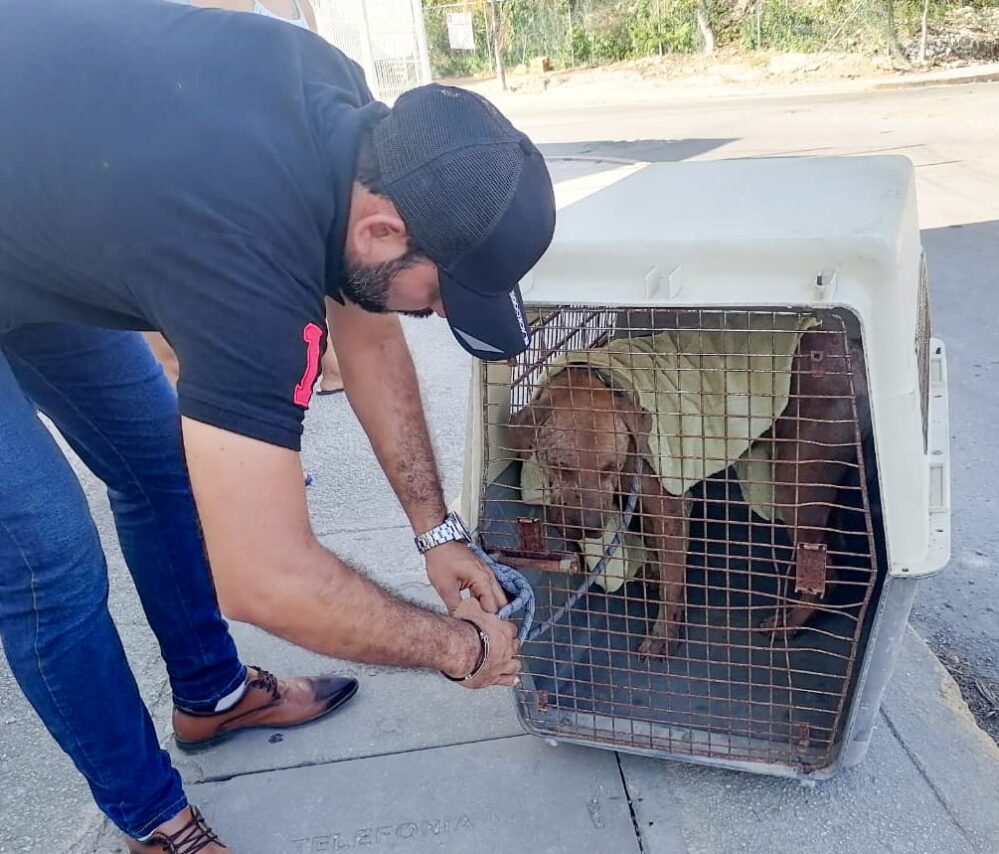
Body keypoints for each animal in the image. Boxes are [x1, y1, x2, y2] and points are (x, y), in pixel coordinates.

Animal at [508, 326, 868, 656]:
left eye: (609, 466)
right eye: (560, 465)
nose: (589, 529)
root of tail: (852, 351)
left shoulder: (667, 502)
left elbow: (672, 578)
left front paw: (662, 637)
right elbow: (657, 550)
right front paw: (653, 572)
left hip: (796, 480)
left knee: (827, 572)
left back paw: (787, 625)